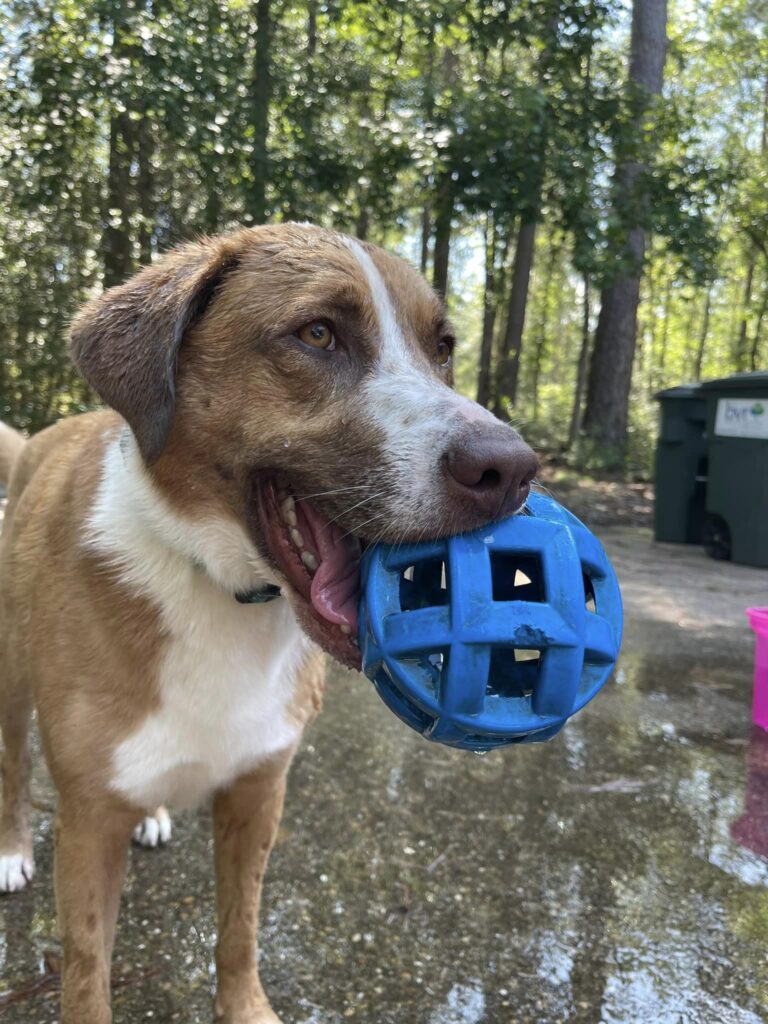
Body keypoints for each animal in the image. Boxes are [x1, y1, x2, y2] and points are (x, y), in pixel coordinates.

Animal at [0, 226, 536, 1024]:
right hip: (9, 675)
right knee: (11, 764)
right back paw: (12, 850)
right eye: (317, 334)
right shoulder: (88, 822)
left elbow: (240, 931)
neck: (220, 586)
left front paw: (246, 1007)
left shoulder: (259, 789)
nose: (512, 469)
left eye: (441, 347)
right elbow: (88, 974)